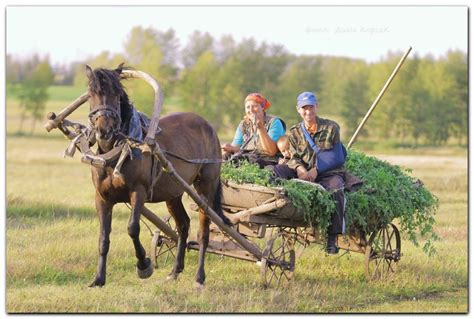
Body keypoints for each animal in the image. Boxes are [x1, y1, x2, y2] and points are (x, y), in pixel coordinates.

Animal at [86, 63, 227, 288]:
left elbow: (133, 228)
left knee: (203, 232)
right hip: (174, 192)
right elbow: (103, 238)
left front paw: (144, 265)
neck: (116, 154)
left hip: (206, 187)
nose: (104, 130)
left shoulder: (139, 192)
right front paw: (99, 279)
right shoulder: (102, 198)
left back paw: (199, 278)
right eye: (91, 94)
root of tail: (208, 126)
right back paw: (175, 271)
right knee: (183, 226)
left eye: (116, 94)